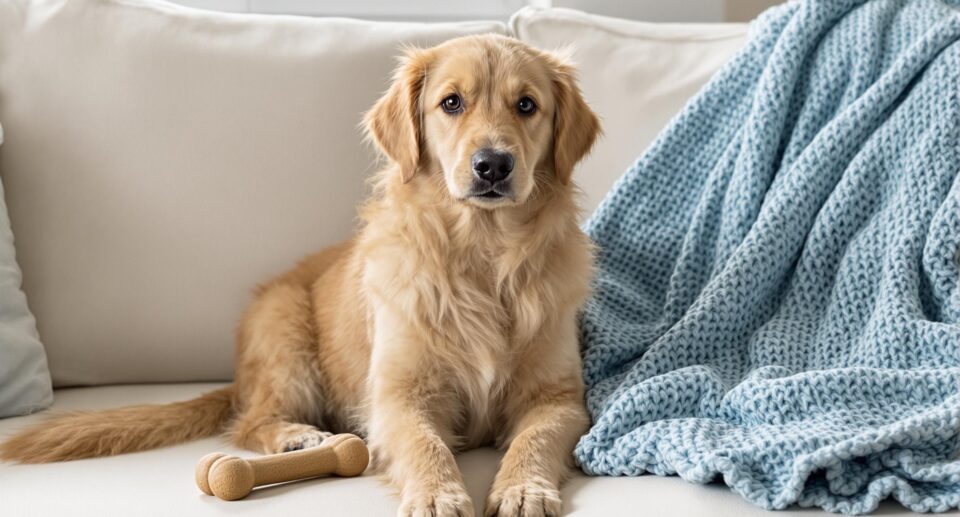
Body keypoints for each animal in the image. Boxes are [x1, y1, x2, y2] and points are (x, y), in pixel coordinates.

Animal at [1, 34, 600, 512]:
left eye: (527, 105)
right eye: (451, 102)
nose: (492, 165)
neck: (483, 256)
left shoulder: (558, 398)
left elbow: (534, 440)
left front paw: (523, 488)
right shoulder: (397, 397)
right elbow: (424, 444)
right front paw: (438, 494)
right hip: (286, 336)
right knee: (248, 423)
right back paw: (297, 437)